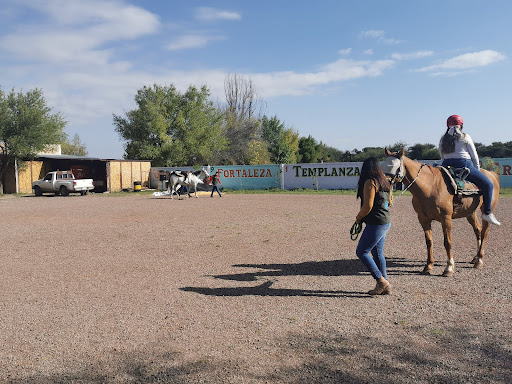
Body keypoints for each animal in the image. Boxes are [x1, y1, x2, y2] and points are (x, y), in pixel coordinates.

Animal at [384, 147, 500, 276]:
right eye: (383, 166)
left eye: (395, 167)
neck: (430, 186)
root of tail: (492, 174)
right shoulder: (423, 219)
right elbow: (429, 242)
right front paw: (428, 266)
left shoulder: (446, 218)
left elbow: (447, 242)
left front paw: (449, 268)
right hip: (470, 213)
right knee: (478, 230)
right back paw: (475, 257)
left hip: (485, 210)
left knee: (484, 232)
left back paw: (479, 260)